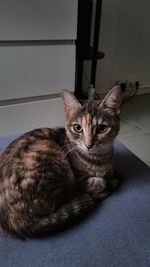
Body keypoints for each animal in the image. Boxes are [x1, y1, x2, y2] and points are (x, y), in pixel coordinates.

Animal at [0, 85, 122, 239]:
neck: (100, 158)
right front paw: (104, 179)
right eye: (77, 128)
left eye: (102, 128)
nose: (88, 145)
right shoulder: (78, 180)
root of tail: (15, 224)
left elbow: (109, 171)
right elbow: (99, 181)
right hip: (49, 153)